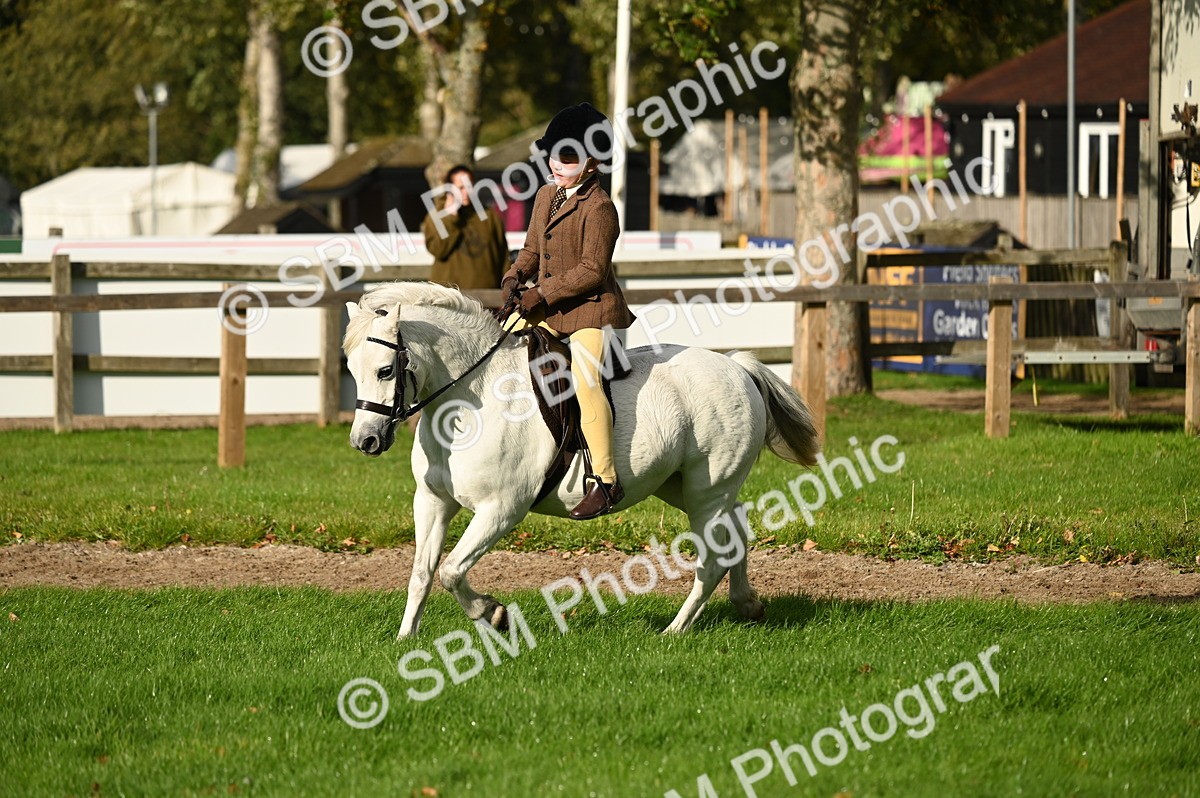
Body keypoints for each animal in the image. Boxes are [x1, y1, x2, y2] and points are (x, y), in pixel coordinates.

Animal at [342, 282, 820, 636]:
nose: (365, 440)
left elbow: (452, 571)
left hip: (707, 491)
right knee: (736, 527)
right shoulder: (433, 501)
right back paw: (748, 605)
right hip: (681, 487)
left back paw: (675, 630)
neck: (470, 399)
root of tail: (737, 368)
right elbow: (423, 572)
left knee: (713, 556)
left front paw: (494, 615)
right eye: (351, 369)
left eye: (386, 370)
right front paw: (406, 639)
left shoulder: (501, 509)